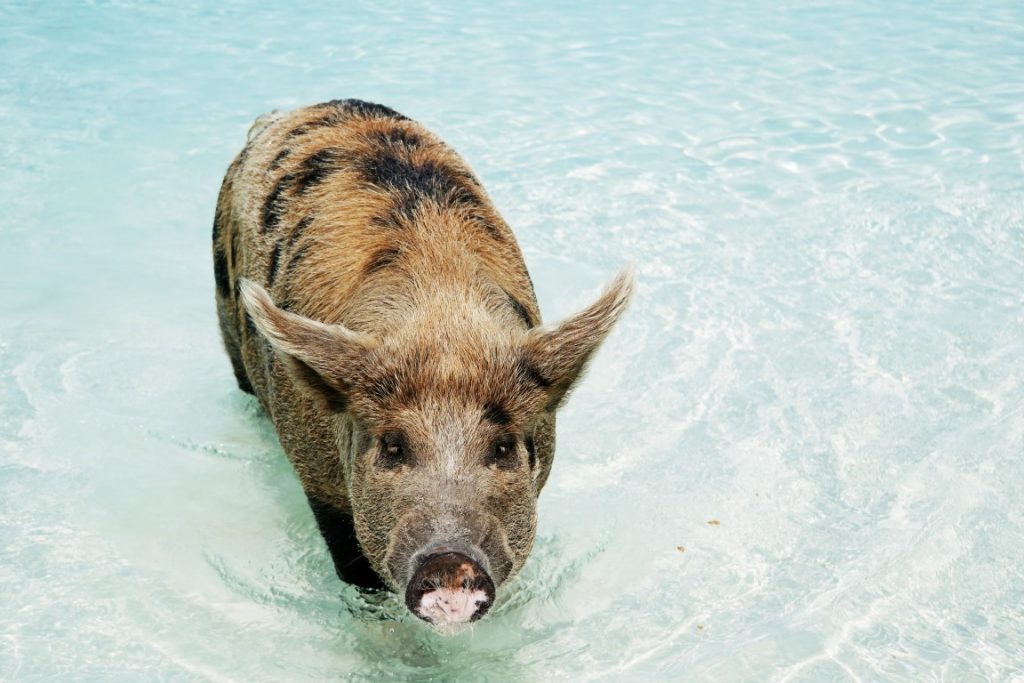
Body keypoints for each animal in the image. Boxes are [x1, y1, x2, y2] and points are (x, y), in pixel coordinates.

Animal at [211, 98, 630, 634]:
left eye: (502, 446)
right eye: (392, 446)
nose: (450, 563)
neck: (440, 320)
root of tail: (285, 113)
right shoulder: (321, 483)